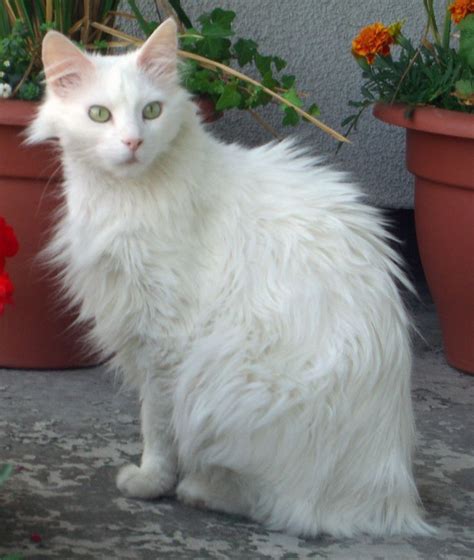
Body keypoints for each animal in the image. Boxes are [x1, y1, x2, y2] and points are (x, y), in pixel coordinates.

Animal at [26, 18, 434, 540]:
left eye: (151, 111)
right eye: (99, 115)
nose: (133, 143)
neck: (127, 197)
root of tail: (392, 501)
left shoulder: (165, 343)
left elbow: (157, 425)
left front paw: (151, 480)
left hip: (232, 385)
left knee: (283, 508)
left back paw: (201, 490)